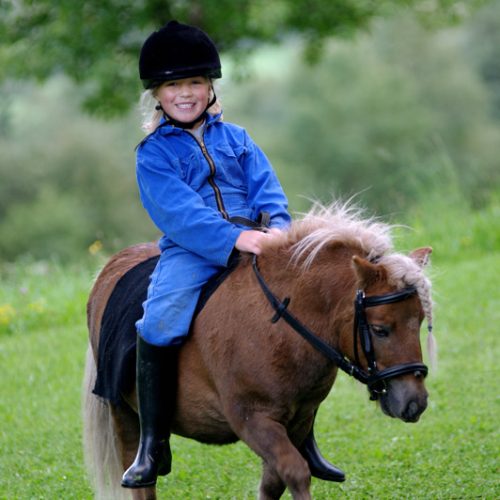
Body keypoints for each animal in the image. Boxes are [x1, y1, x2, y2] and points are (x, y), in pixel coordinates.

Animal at [82, 203, 434, 500]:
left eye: (419, 321)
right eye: (380, 329)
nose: (414, 402)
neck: (278, 326)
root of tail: (112, 267)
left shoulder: (298, 419)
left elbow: (275, 481)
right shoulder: (253, 419)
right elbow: (295, 472)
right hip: (124, 415)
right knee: (143, 481)